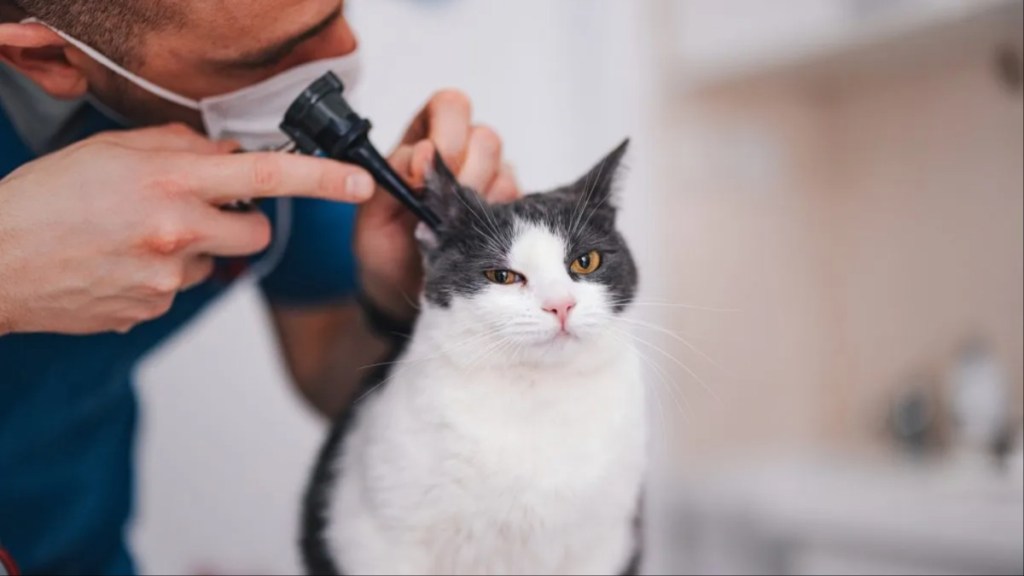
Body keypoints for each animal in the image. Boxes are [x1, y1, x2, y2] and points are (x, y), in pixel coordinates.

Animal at [299, 140, 643, 573]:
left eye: (586, 261)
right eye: (502, 276)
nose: (560, 305)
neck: (535, 397)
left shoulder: (603, 546)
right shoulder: (373, 538)